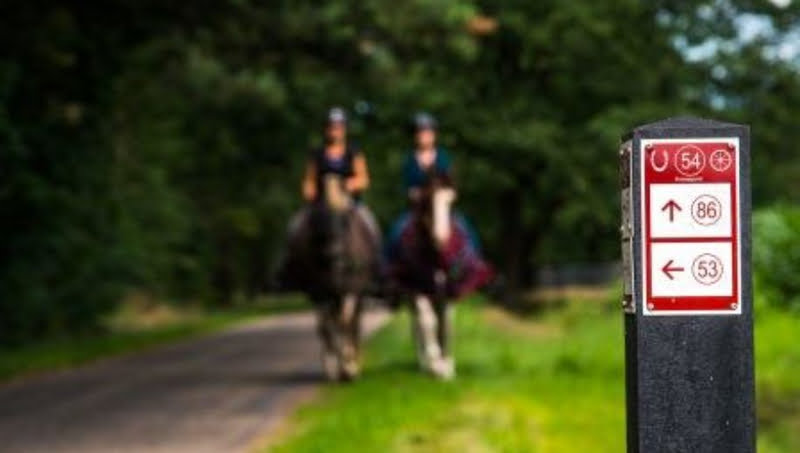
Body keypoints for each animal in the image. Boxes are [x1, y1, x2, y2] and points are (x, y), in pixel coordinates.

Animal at [282, 175, 382, 380]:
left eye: (344, 222)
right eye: (317, 221)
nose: (335, 257)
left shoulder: (351, 290)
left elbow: (345, 322)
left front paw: (348, 367)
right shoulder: (319, 292)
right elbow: (325, 325)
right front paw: (331, 366)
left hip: (357, 294)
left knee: (354, 322)